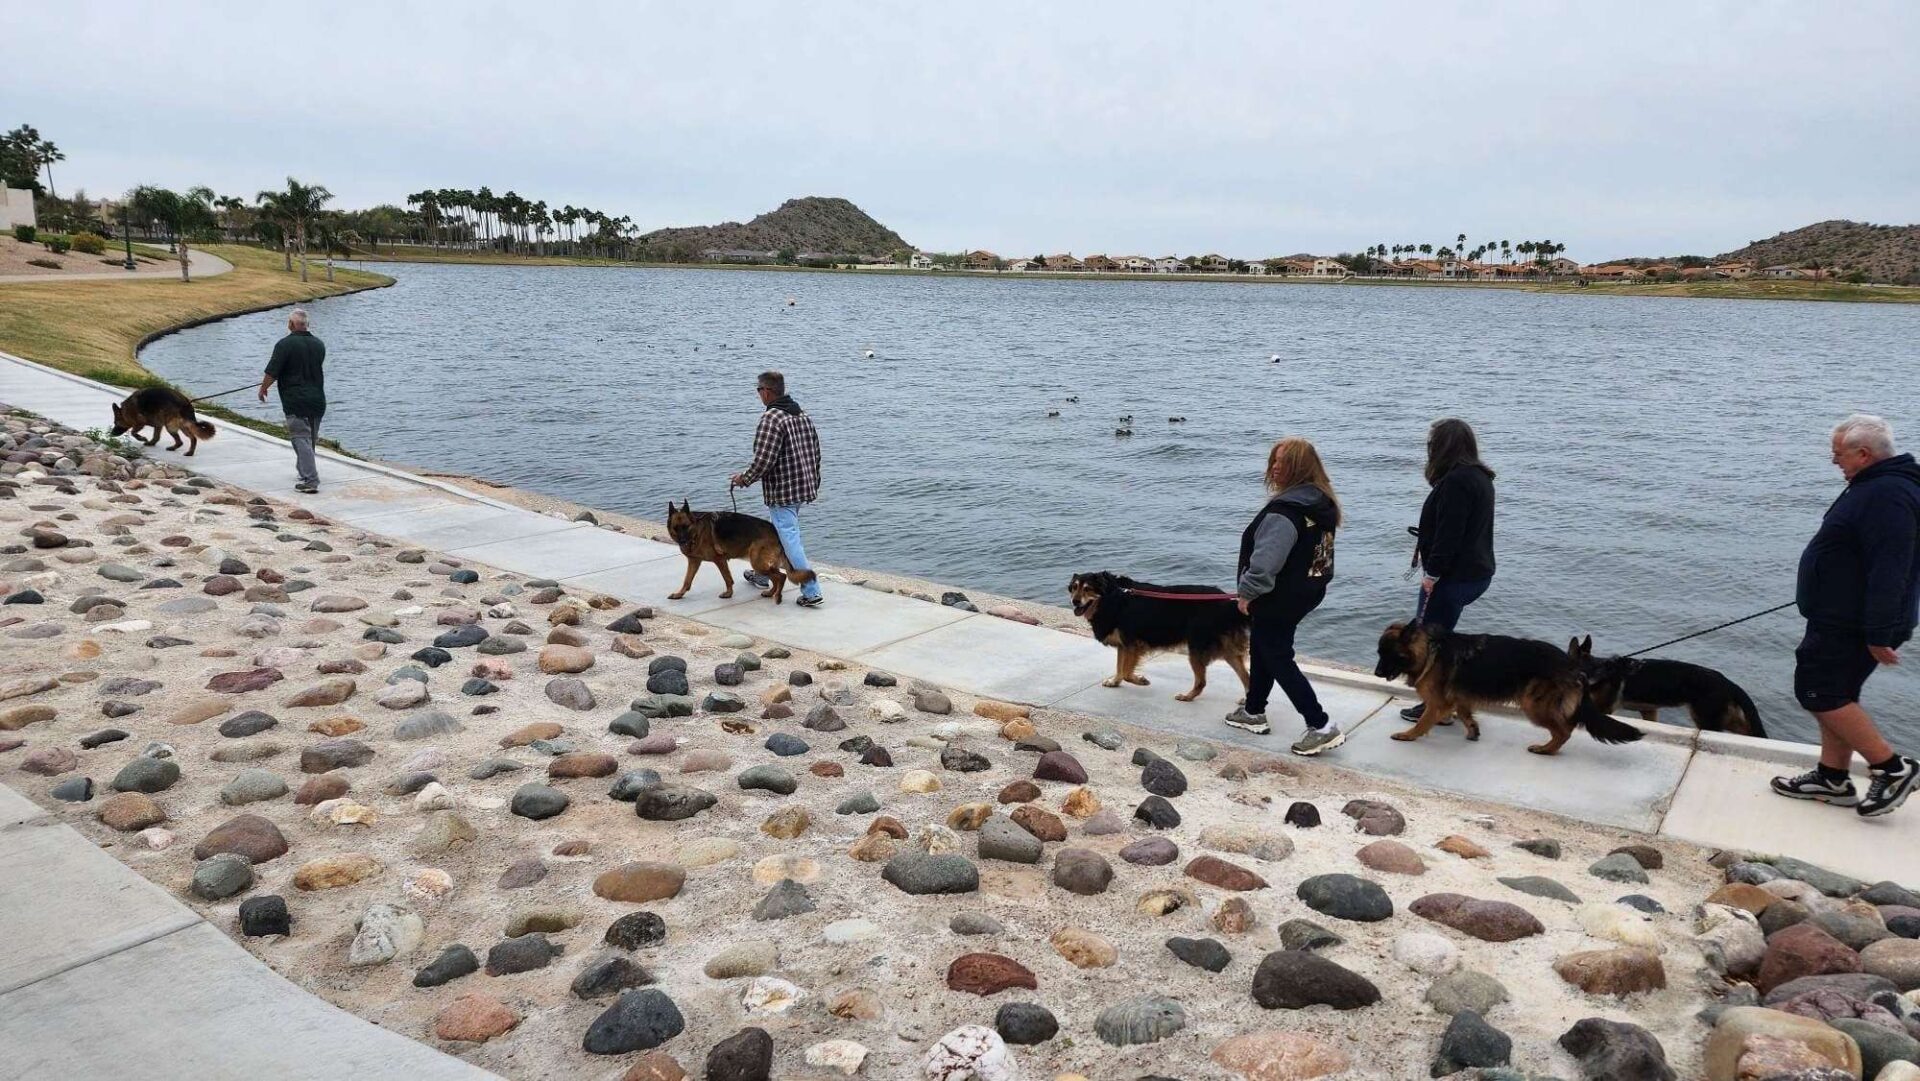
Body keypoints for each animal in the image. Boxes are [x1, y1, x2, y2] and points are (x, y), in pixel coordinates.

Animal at [664, 503, 814, 606]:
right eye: (676, 528)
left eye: (686, 527)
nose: (682, 541)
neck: (697, 530)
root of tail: (774, 530)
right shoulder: (694, 561)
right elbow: (687, 581)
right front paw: (679, 594)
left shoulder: (719, 560)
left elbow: (727, 579)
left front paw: (728, 594)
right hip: (762, 563)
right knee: (776, 577)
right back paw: (771, 593)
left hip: (757, 563)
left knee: (781, 576)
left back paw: (777, 597)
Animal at [1067, 572, 1244, 706]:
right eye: (1074, 587)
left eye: (1088, 589)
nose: (1075, 601)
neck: (1111, 595)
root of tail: (1227, 603)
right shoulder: (1124, 644)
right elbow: (1119, 668)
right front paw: (1114, 682)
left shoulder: (1132, 644)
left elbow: (1126, 672)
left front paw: (1140, 680)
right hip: (1226, 650)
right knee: (1245, 676)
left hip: (1197, 646)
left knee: (1202, 682)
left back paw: (1187, 696)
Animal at [1374, 622, 1643, 756]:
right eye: (1379, 653)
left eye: (1388, 653)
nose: (1377, 673)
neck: (1430, 651)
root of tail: (1573, 664)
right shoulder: (1459, 698)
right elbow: (1465, 714)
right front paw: (1473, 730)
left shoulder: (1439, 703)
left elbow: (1423, 723)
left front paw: (1408, 735)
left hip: (1533, 705)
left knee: (1565, 730)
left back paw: (1545, 749)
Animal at [1566, 637, 1758, 741]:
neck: (1593, 667)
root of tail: (1728, 683)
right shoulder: (1649, 711)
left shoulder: (1604, 709)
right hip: (1727, 720)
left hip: (1706, 720)